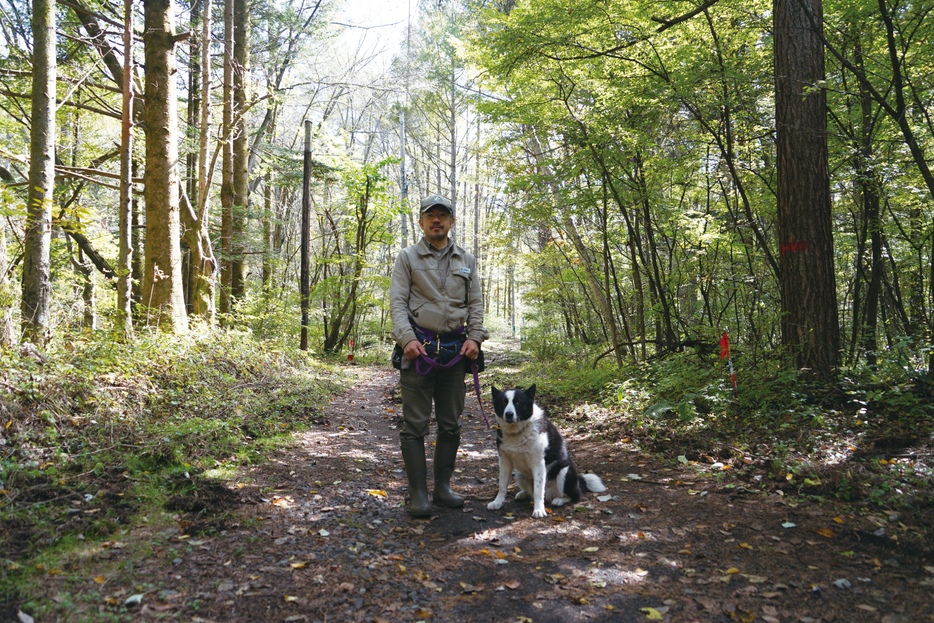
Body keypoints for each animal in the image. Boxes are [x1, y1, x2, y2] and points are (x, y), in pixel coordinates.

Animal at [486, 386, 612, 516]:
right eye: (503, 402)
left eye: (518, 402)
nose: (509, 414)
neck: (518, 432)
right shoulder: (505, 461)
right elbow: (502, 486)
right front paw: (497, 503)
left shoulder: (538, 464)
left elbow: (538, 491)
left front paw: (539, 510)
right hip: (520, 474)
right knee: (530, 492)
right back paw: (523, 494)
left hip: (565, 471)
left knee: (573, 496)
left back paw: (559, 500)